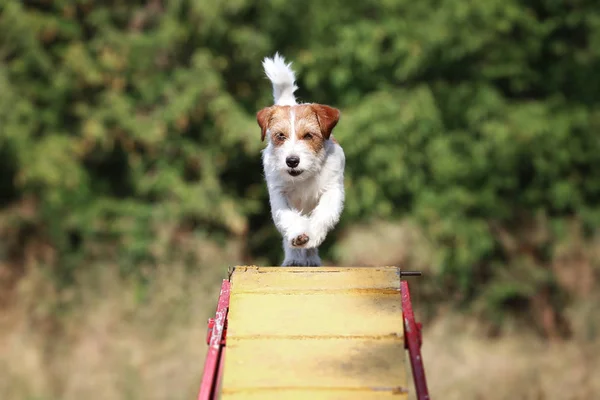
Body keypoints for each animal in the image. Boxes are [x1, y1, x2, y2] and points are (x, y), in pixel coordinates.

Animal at [255, 53, 344, 266]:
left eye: (308, 135)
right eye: (280, 136)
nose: (292, 161)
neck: (304, 177)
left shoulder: (333, 189)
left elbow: (324, 213)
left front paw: (314, 233)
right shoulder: (278, 194)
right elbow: (288, 217)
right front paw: (298, 234)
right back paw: (294, 258)